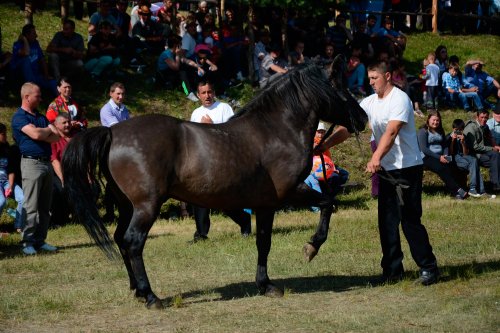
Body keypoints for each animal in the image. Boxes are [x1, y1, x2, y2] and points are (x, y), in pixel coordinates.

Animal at [62, 59, 368, 306]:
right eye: (340, 86)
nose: (363, 118)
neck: (275, 131)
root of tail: (112, 132)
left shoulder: (267, 202)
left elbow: (288, 226)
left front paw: (275, 275)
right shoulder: (282, 196)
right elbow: (297, 222)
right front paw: (303, 254)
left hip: (127, 206)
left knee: (120, 240)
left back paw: (136, 290)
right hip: (146, 206)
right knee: (133, 242)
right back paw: (150, 296)